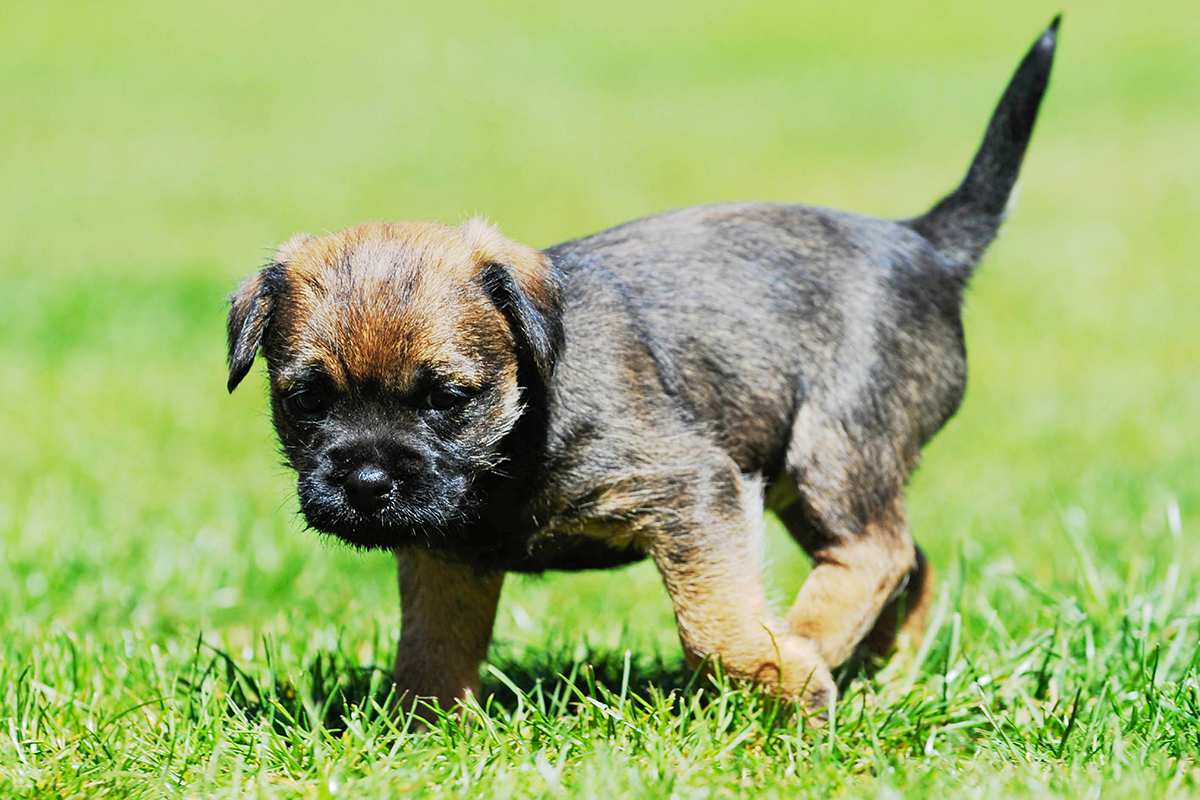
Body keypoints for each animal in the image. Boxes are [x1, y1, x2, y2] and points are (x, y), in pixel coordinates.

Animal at [225, 20, 1060, 714]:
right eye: (306, 400)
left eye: (447, 398)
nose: (366, 483)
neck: (524, 423)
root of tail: (923, 242)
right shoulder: (446, 555)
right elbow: (432, 651)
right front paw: (421, 732)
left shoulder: (693, 491)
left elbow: (713, 622)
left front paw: (780, 677)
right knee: (910, 563)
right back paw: (882, 675)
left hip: (837, 443)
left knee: (875, 551)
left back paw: (812, 645)